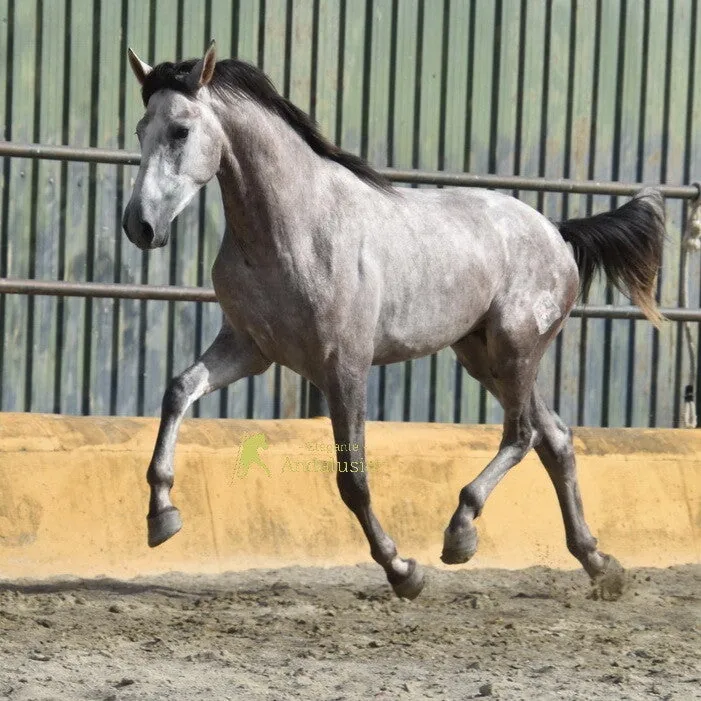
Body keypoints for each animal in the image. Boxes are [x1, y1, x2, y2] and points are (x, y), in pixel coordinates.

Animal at [122, 41, 665, 601]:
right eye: (140, 130)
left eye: (180, 130)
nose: (139, 226)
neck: (297, 228)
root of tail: (555, 233)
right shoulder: (248, 350)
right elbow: (178, 390)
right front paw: (162, 516)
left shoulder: (344, 367)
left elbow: (352, 479)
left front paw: (403, 570)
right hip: (483, 356)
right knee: (553, 437)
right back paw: (598, 563)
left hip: (516, 349)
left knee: (523, 434)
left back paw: (461, 534)